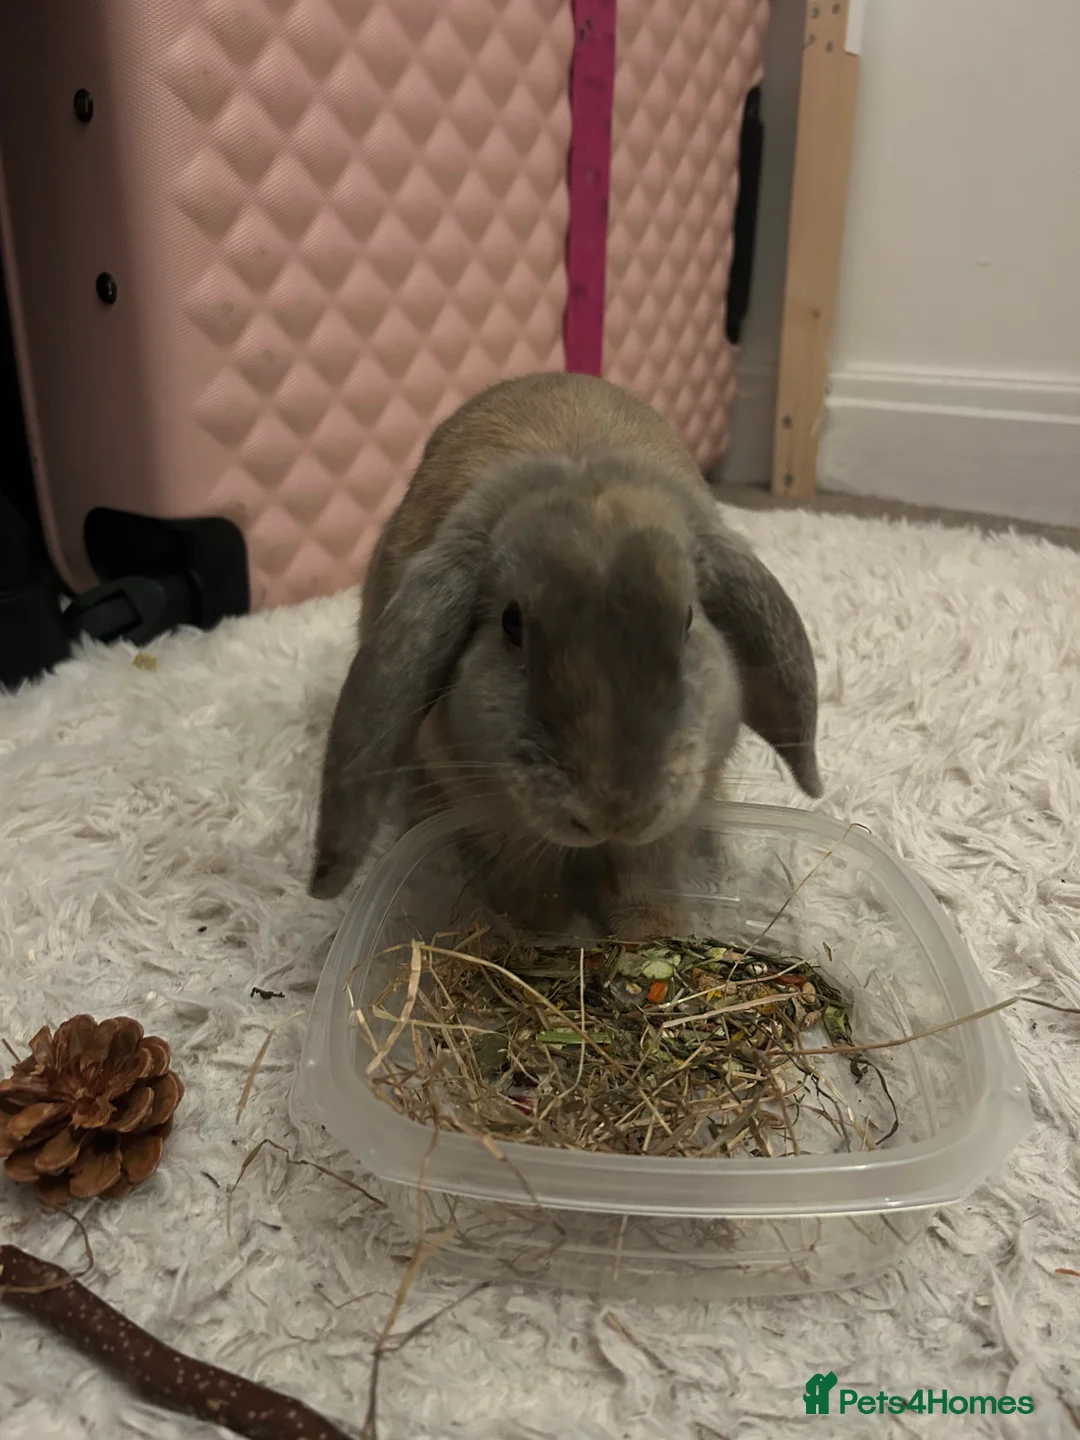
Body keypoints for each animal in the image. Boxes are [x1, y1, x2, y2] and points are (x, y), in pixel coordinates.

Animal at [309, 371, 822, 940]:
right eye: (511, 625)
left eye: (689, 620)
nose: (614, 811)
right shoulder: (492, 809)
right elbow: (525, 866)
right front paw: (541, 924)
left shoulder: (676, 812)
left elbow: (644, 869)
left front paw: (648, 929)